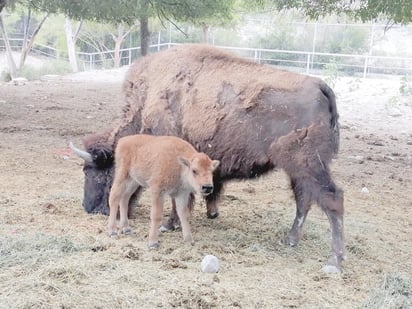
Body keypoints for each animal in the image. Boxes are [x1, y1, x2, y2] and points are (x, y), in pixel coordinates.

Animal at [71, 44, 344, 272]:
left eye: (93, 172)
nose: (89, 208)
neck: (147, 100)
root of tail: (320, 86)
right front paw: (201, 216)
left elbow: (178, 200)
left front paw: (168, 225)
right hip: (298, 170)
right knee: (304, 200)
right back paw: (290, 240)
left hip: (308, 165)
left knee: (332, 199)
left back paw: (335, 261)